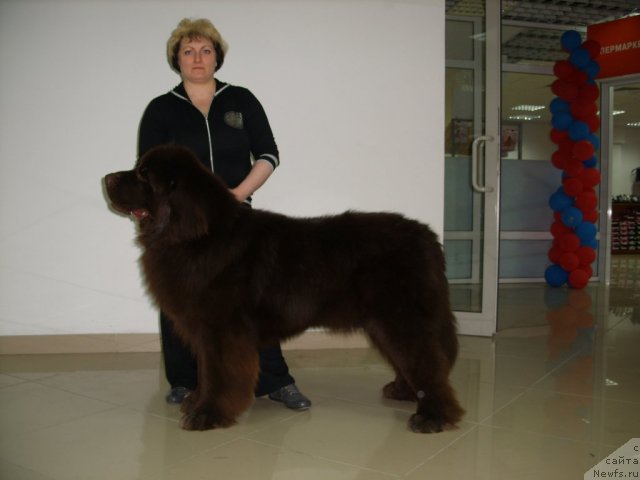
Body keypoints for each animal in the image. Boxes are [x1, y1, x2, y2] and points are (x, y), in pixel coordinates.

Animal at [104, 144, 464, 434]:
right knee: (414, 360)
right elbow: (207, 373)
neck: (197, 237)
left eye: (143, 174)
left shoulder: (222, 331)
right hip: (385, 322)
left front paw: (208, 414)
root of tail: (427, 236)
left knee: (427, 362)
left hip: (399, 318)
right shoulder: (207, 332)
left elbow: (219, 375)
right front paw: (197, 402)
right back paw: (405, 391)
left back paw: (433, 416)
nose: (106, 178)